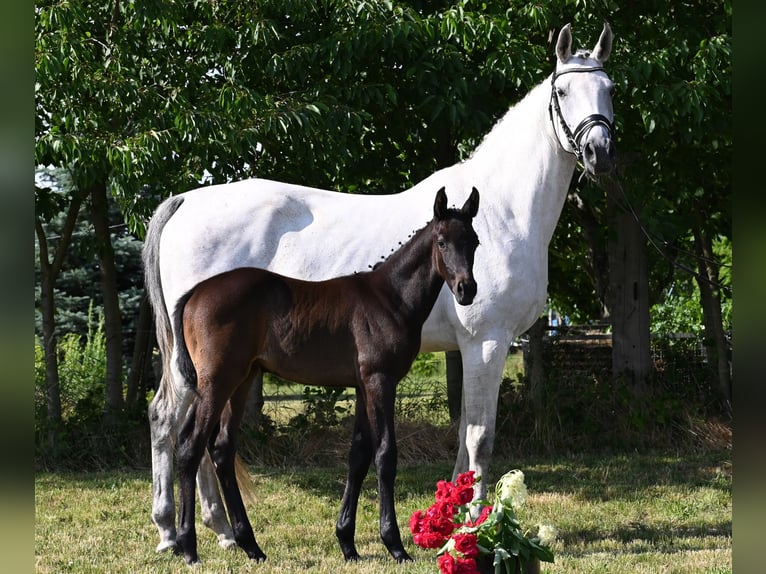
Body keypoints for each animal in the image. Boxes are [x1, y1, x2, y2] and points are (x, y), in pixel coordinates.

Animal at [141, 23, 616, 560]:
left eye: (609, 89)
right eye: (563, 91)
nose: (599, 152)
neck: (503, 211)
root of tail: (186, 201)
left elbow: (459, 438)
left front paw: (449, 522)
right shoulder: (486, 344)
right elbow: (479, 437)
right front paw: (472, 526)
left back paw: (218, 530)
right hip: (206, 367)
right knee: (170, 424)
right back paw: (176, 532)